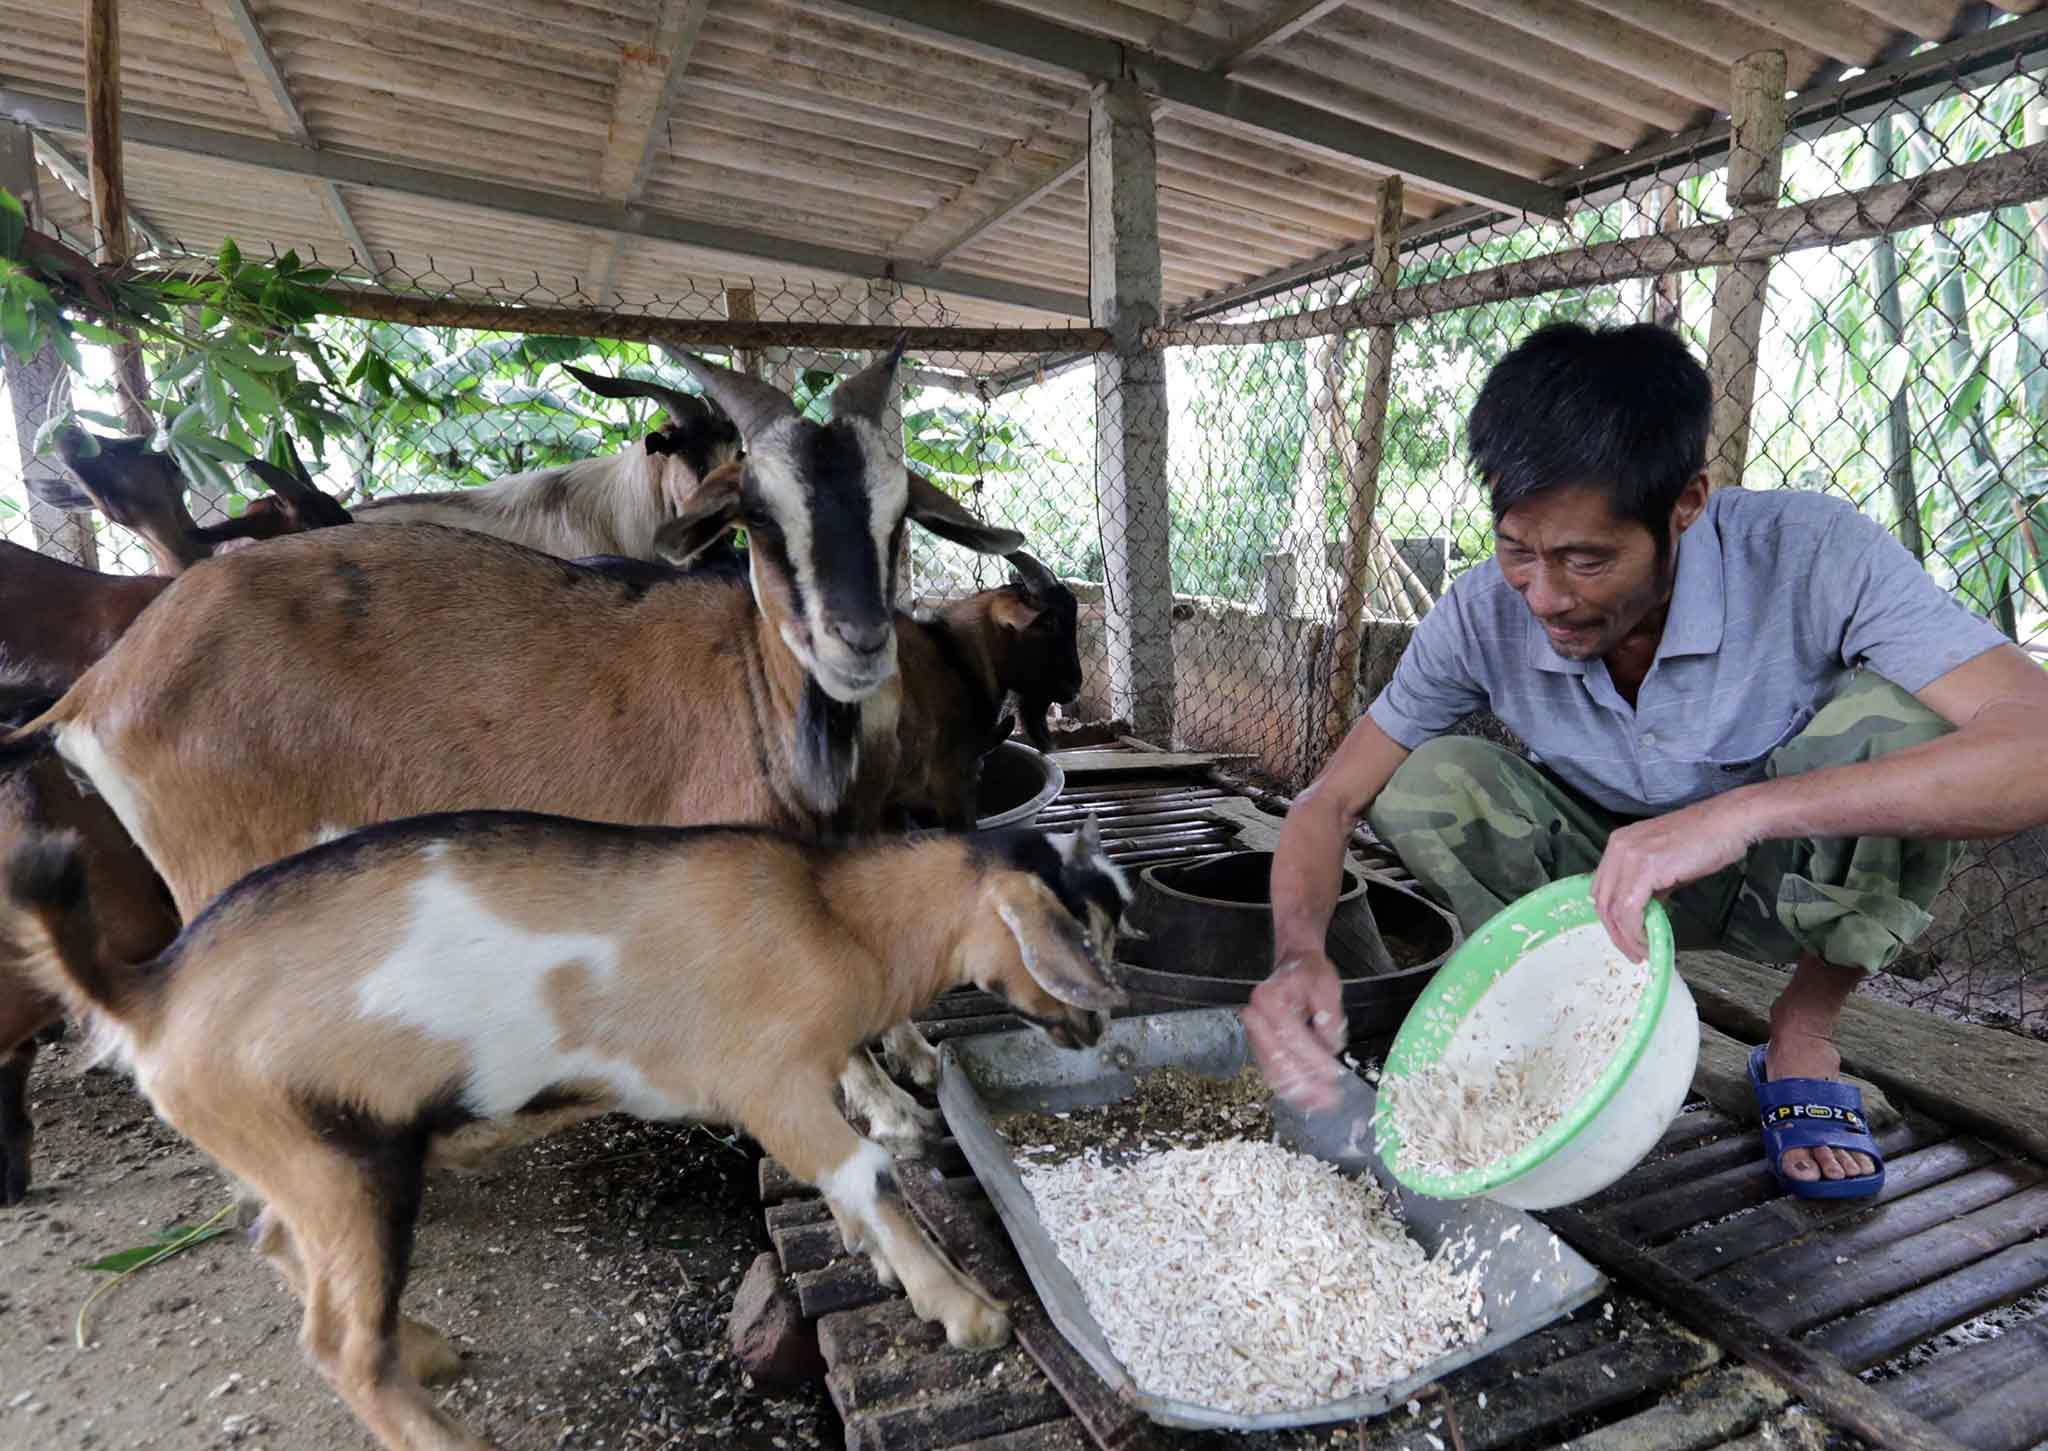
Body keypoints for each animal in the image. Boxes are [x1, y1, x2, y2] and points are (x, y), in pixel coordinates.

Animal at [0, 815, 1130, 1451]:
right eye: (1081, 931)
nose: (1102, 1023)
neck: (834, 916)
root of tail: (145, 995)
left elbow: (849, 1188)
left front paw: (896, 1270)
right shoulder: (765, 1077)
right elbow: (866, 1171)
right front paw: (964, 1308)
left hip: (317, 1156)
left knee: (278, 1244)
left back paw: (424, 1343)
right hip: (338, 1163)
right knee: (338, 1347)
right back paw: (453, 1439)